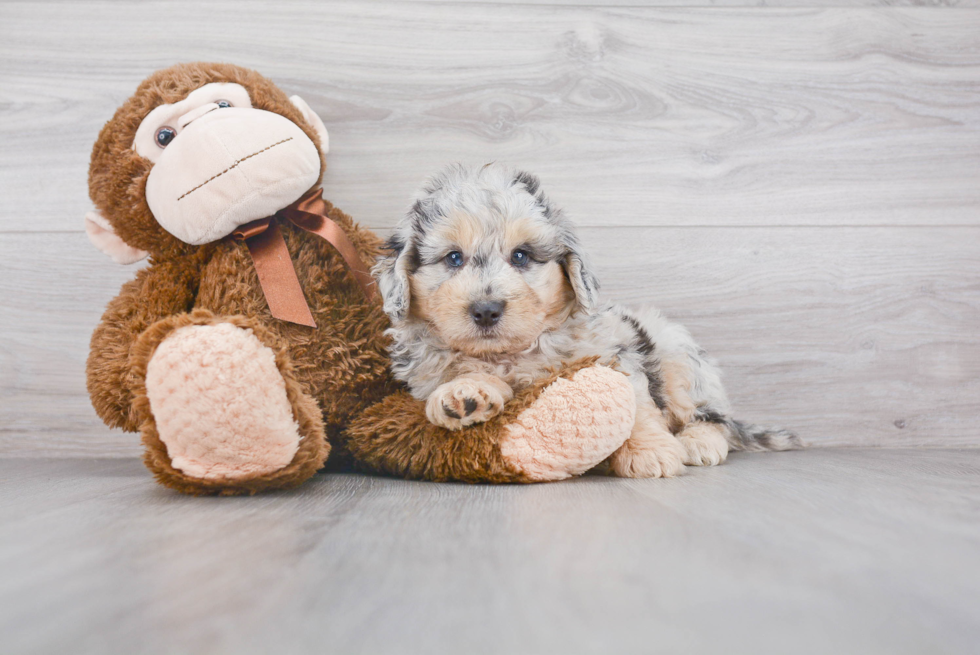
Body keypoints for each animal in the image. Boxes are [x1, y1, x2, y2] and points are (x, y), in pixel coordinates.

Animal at [374, 165, 796, 476]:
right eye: (453, 258)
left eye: (522, 256)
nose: (486, 310)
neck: (512, 354)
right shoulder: (429, 371)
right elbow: (460, 373)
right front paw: (464, 395)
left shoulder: (615, 352)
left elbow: (636, 405)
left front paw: (650, 451)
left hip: (680, 360)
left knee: (714, 418)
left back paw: (699, 441)